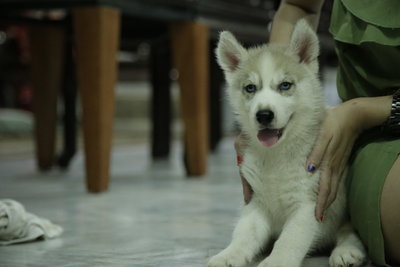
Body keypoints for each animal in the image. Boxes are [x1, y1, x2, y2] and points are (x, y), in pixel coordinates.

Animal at [208, 19, 368, 266]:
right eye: (250, 88)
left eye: (285, 85)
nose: (264, 115)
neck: (277, 154)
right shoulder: (256, 201)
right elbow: (244, 233)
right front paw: (228, 255)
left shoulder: (308, 205)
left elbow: (289, 240)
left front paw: (276, 261)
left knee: (349, 231)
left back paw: (346, 251)